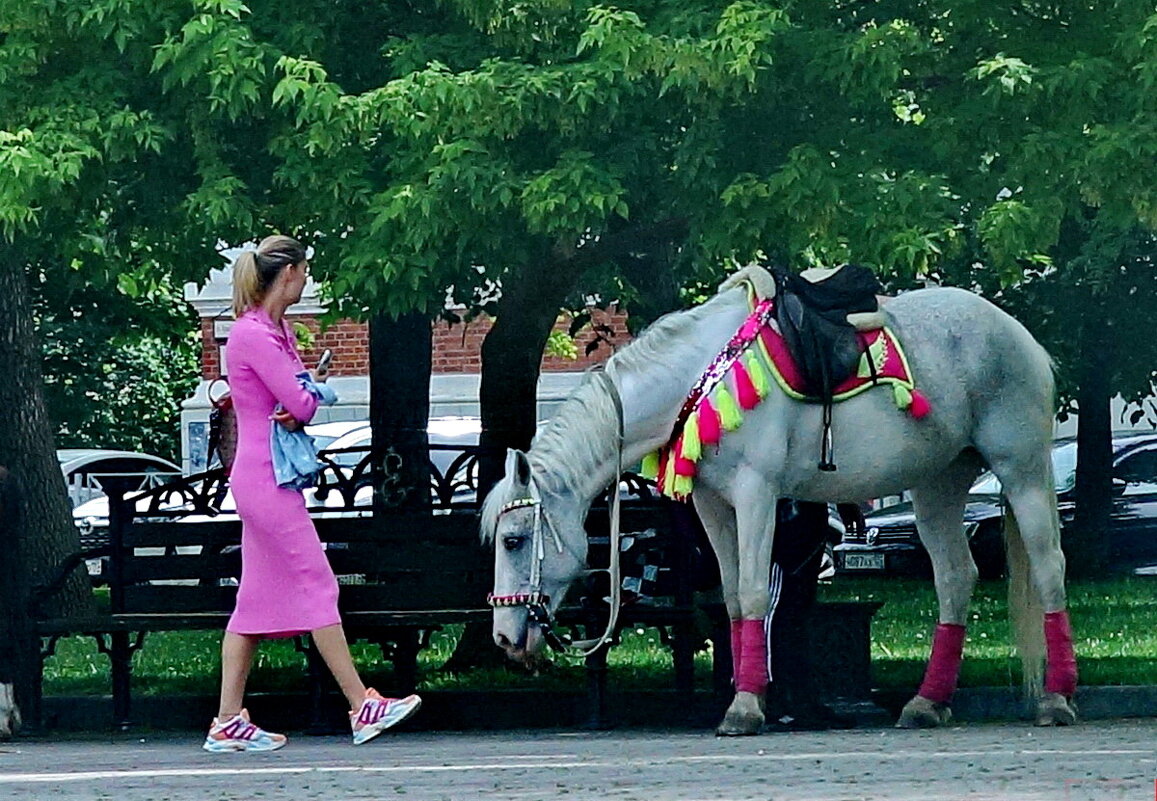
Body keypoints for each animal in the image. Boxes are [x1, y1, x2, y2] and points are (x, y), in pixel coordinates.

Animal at [483, 266, 1078, 736]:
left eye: (514, 540)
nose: (505, 637)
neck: (700, 374)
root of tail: (1022, 338)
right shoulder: (712, 505)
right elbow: (729, 596)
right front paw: (744, 698)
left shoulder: (756, 493)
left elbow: (751, 593)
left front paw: (745, 708)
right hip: (937, 484)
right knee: (955, 578)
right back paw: (927, 703)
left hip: (1021, 466)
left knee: (1049, 566)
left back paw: (1057, 698)